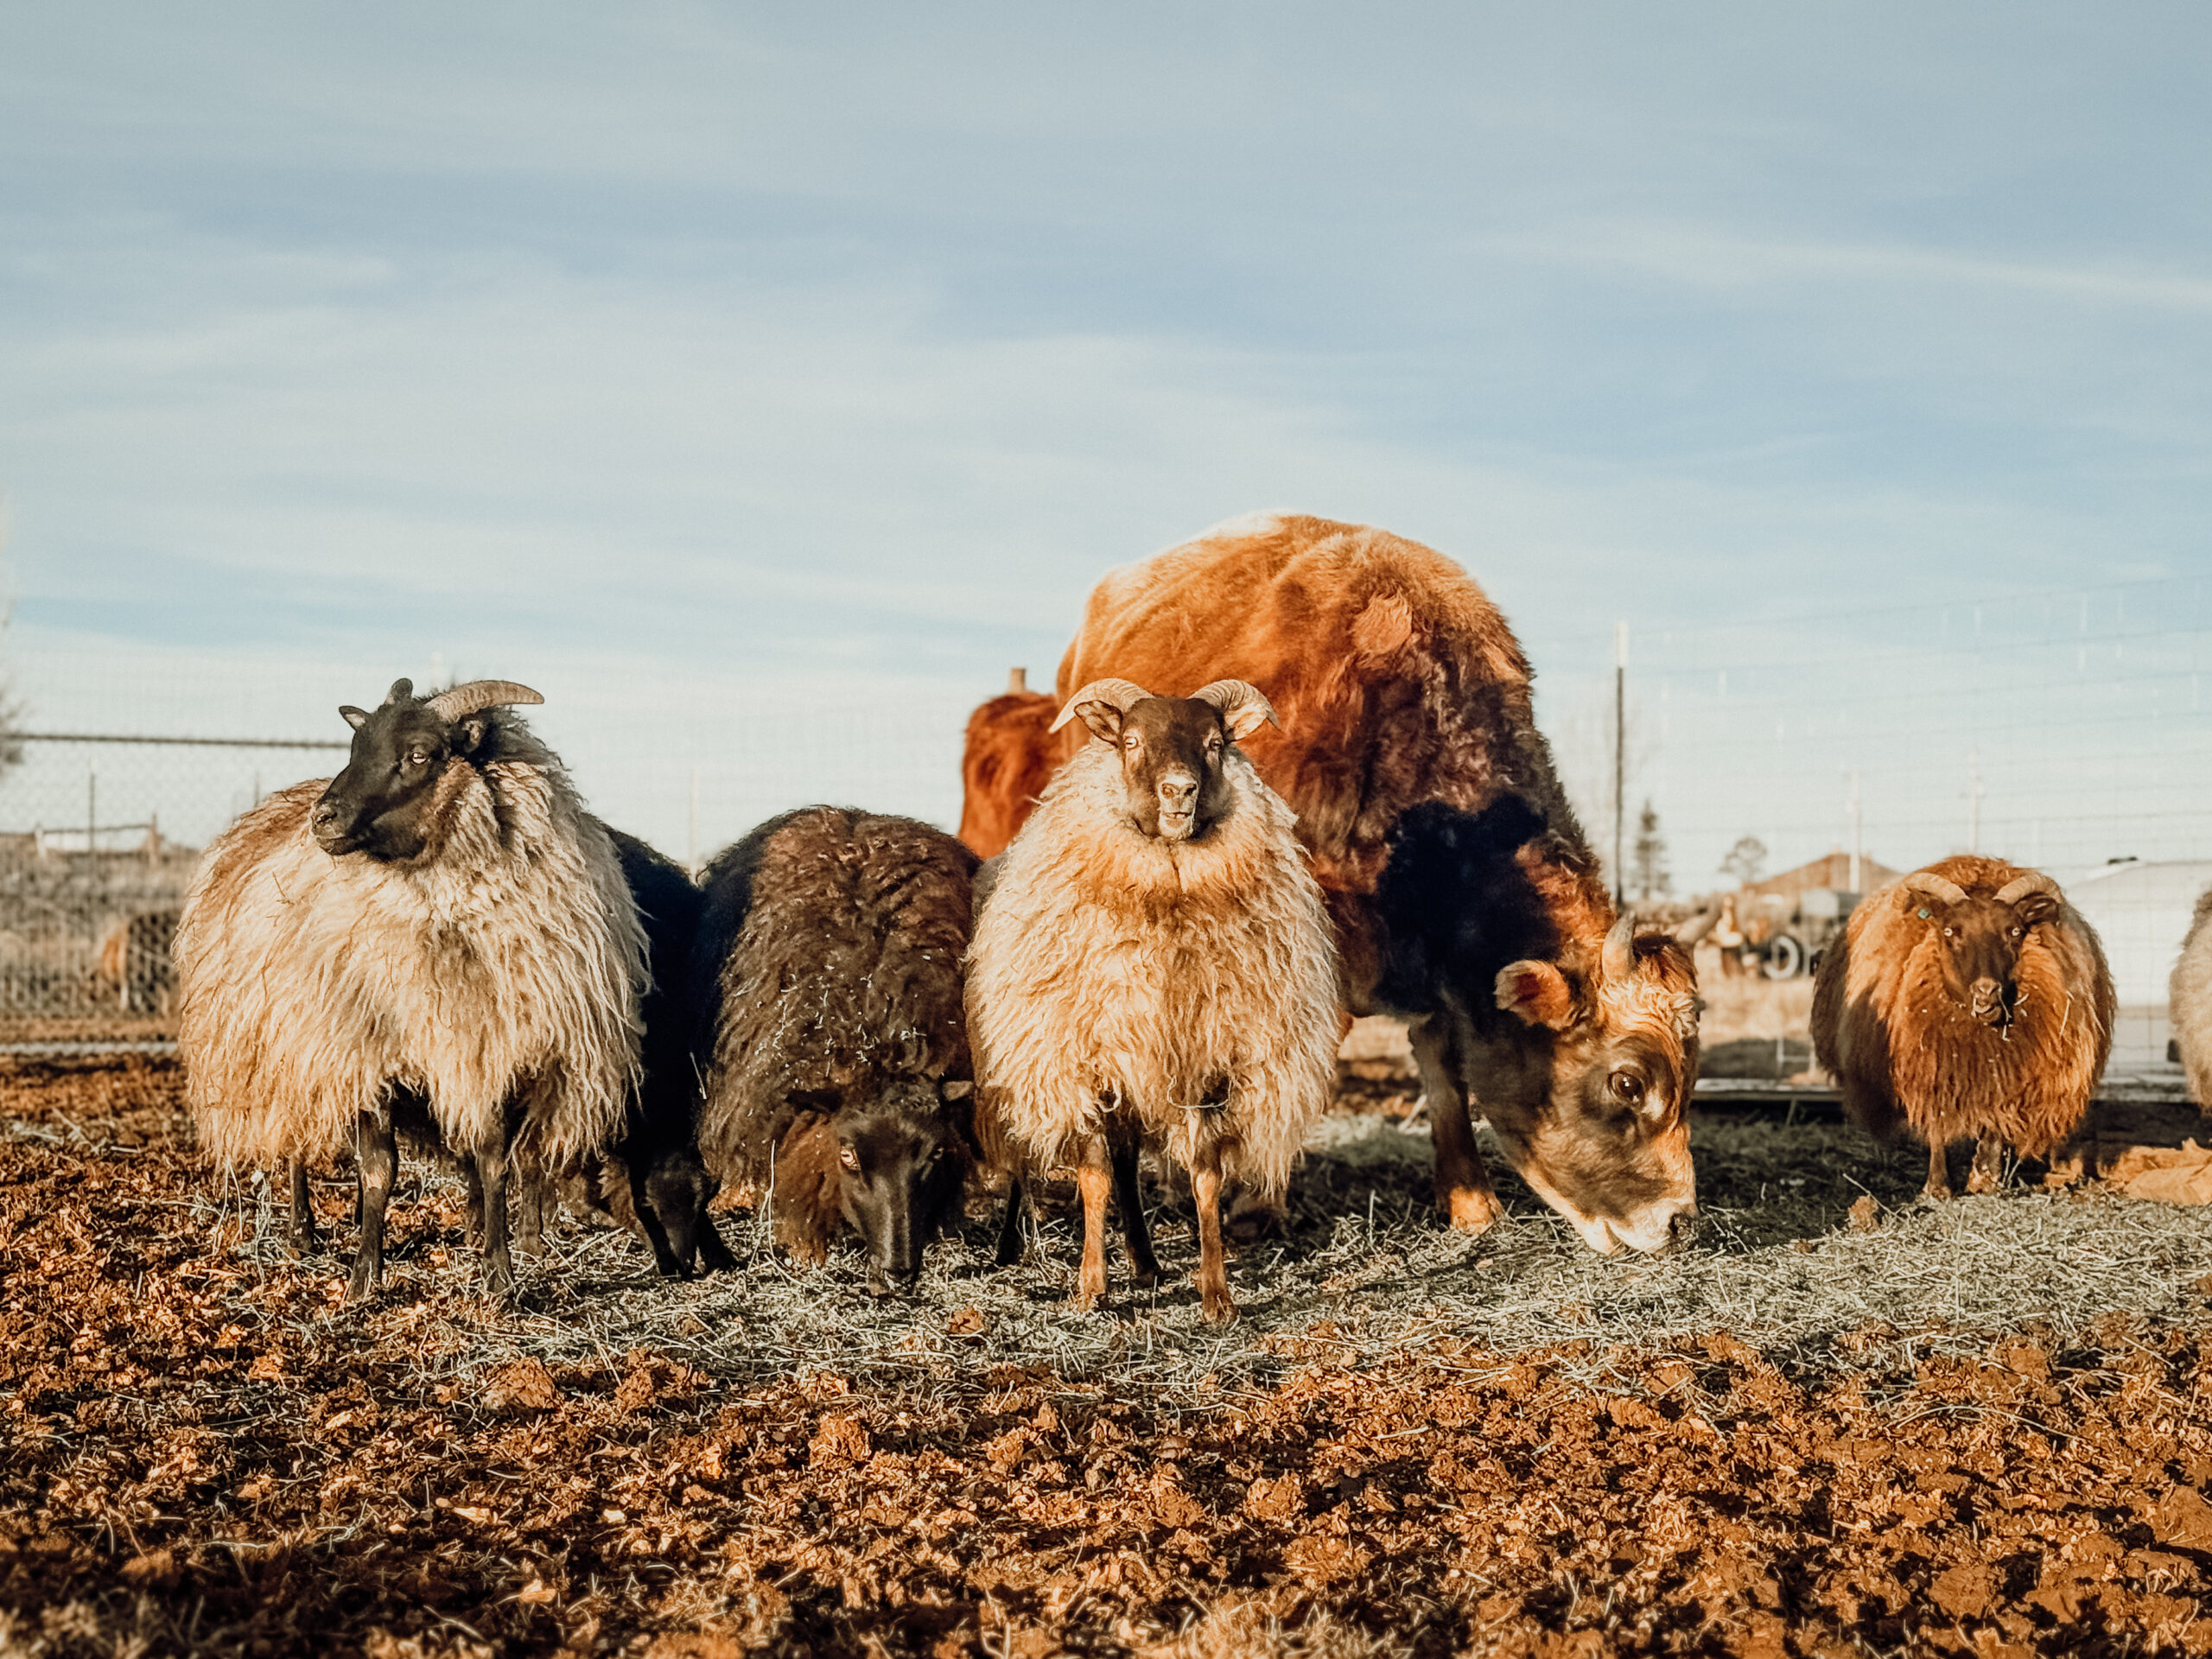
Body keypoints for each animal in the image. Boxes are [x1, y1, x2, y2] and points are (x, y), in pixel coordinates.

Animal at [175, 677, 645, 1299]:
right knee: (298, 1143)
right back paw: (303, 1231)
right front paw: (363, 1277)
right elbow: (380, 1170)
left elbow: (494, 1160)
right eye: (355, 746)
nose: (323, 819)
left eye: (419, 754)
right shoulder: (367, 1052)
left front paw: (498, 1270)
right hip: (289, 1046)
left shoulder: (492, 1050)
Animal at [967, 676, 1341, 1324]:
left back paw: (1145, 1263)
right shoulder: (1081, 1062)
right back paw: (1012, 1248)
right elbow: (1091, 1178)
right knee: (1033, 1162)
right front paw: (1091, 1288)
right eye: (1131, 741)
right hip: (1024, 1064)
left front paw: (1216, 1294)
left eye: (1216, 742)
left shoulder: (1209, 1063)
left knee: (1125, 1165)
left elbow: (1204, 1177)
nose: (1178, 791)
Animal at [1812, 856, 2114, 1197]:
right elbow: (1937, 1127)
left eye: (2014, 931)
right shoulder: (1931, 1070)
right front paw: (1938, 1186)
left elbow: (1995, 1123)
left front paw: (1985, 1178)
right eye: (1949, 930)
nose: (1987, 991)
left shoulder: (2005, 1075)